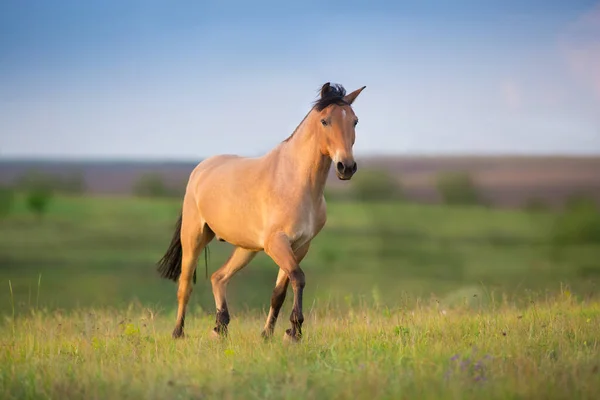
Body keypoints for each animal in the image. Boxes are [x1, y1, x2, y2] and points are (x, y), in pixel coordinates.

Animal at [155, 82, 366, 344]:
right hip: (194, 237)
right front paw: (294, 332)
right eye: (325, 121)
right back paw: (178, 333)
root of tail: (201, 169)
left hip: (246, 249)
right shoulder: (277, 243)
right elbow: (298, 277)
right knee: (185, 286)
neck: (295, 182)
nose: (346, 167)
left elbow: (279, 291)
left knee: (218, 277)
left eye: (355, 121)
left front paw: (270, 334)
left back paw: (220, 327)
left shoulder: (299, 246)